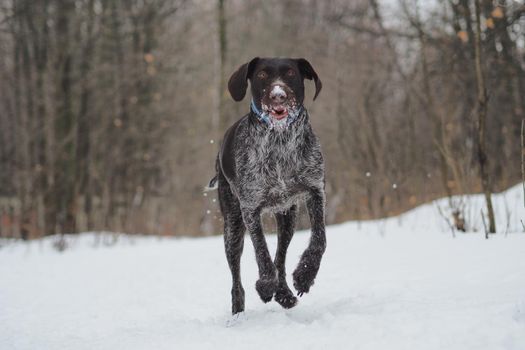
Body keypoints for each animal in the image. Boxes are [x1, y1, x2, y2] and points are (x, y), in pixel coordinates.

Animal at [208, 57, 324, 314]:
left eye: (290, 73)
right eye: (261, 75)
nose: (278, 95)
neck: (280, 142)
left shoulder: (315, 190)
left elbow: (319, 240)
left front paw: (305, 276)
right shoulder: (250, 208)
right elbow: (261, 251)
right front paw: (265, 285)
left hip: (288, 217)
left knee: (280, 255)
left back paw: (283, 293)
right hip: (232, 228)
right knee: (237, 280)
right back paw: (239, 310)